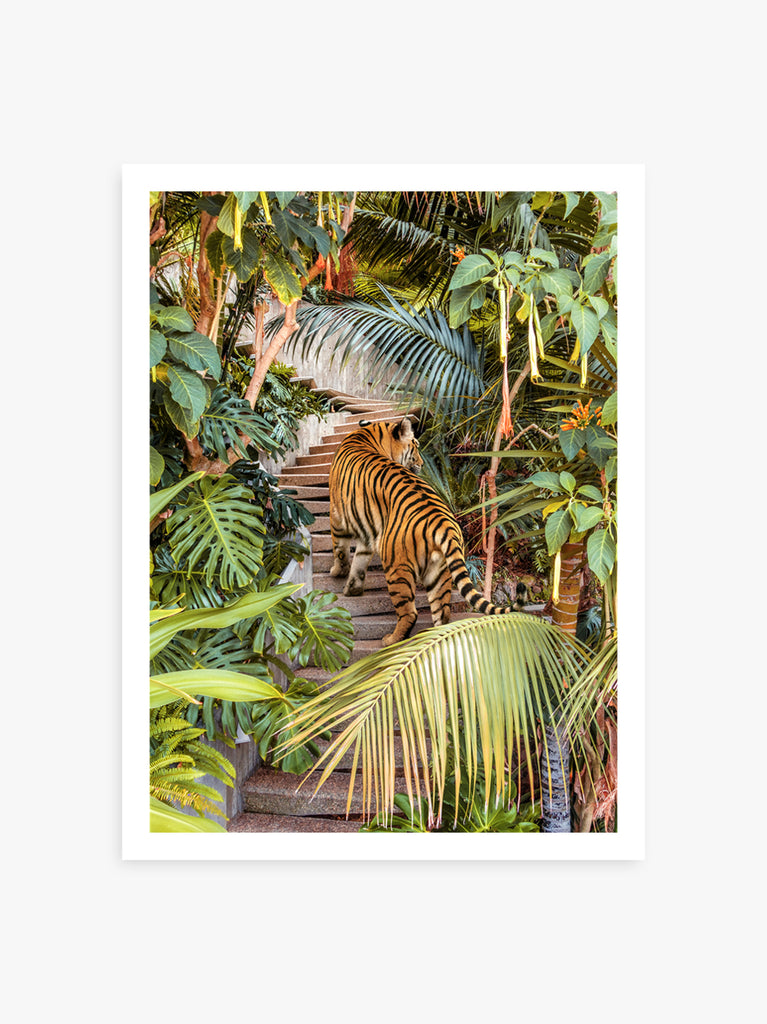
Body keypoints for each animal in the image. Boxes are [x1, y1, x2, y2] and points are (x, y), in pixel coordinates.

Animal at [328, 417, 529, 646]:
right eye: (415, 445)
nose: (422, 464)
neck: (369, 434)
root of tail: (445, 524)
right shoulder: (367, 532)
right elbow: (359, 562)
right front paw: (352, 589)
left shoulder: (336, 515)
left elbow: (341, 551)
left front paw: (337, 573)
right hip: (439, 573)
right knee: (442, 613)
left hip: (397, 567)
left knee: (409, 613)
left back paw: (391, 640)